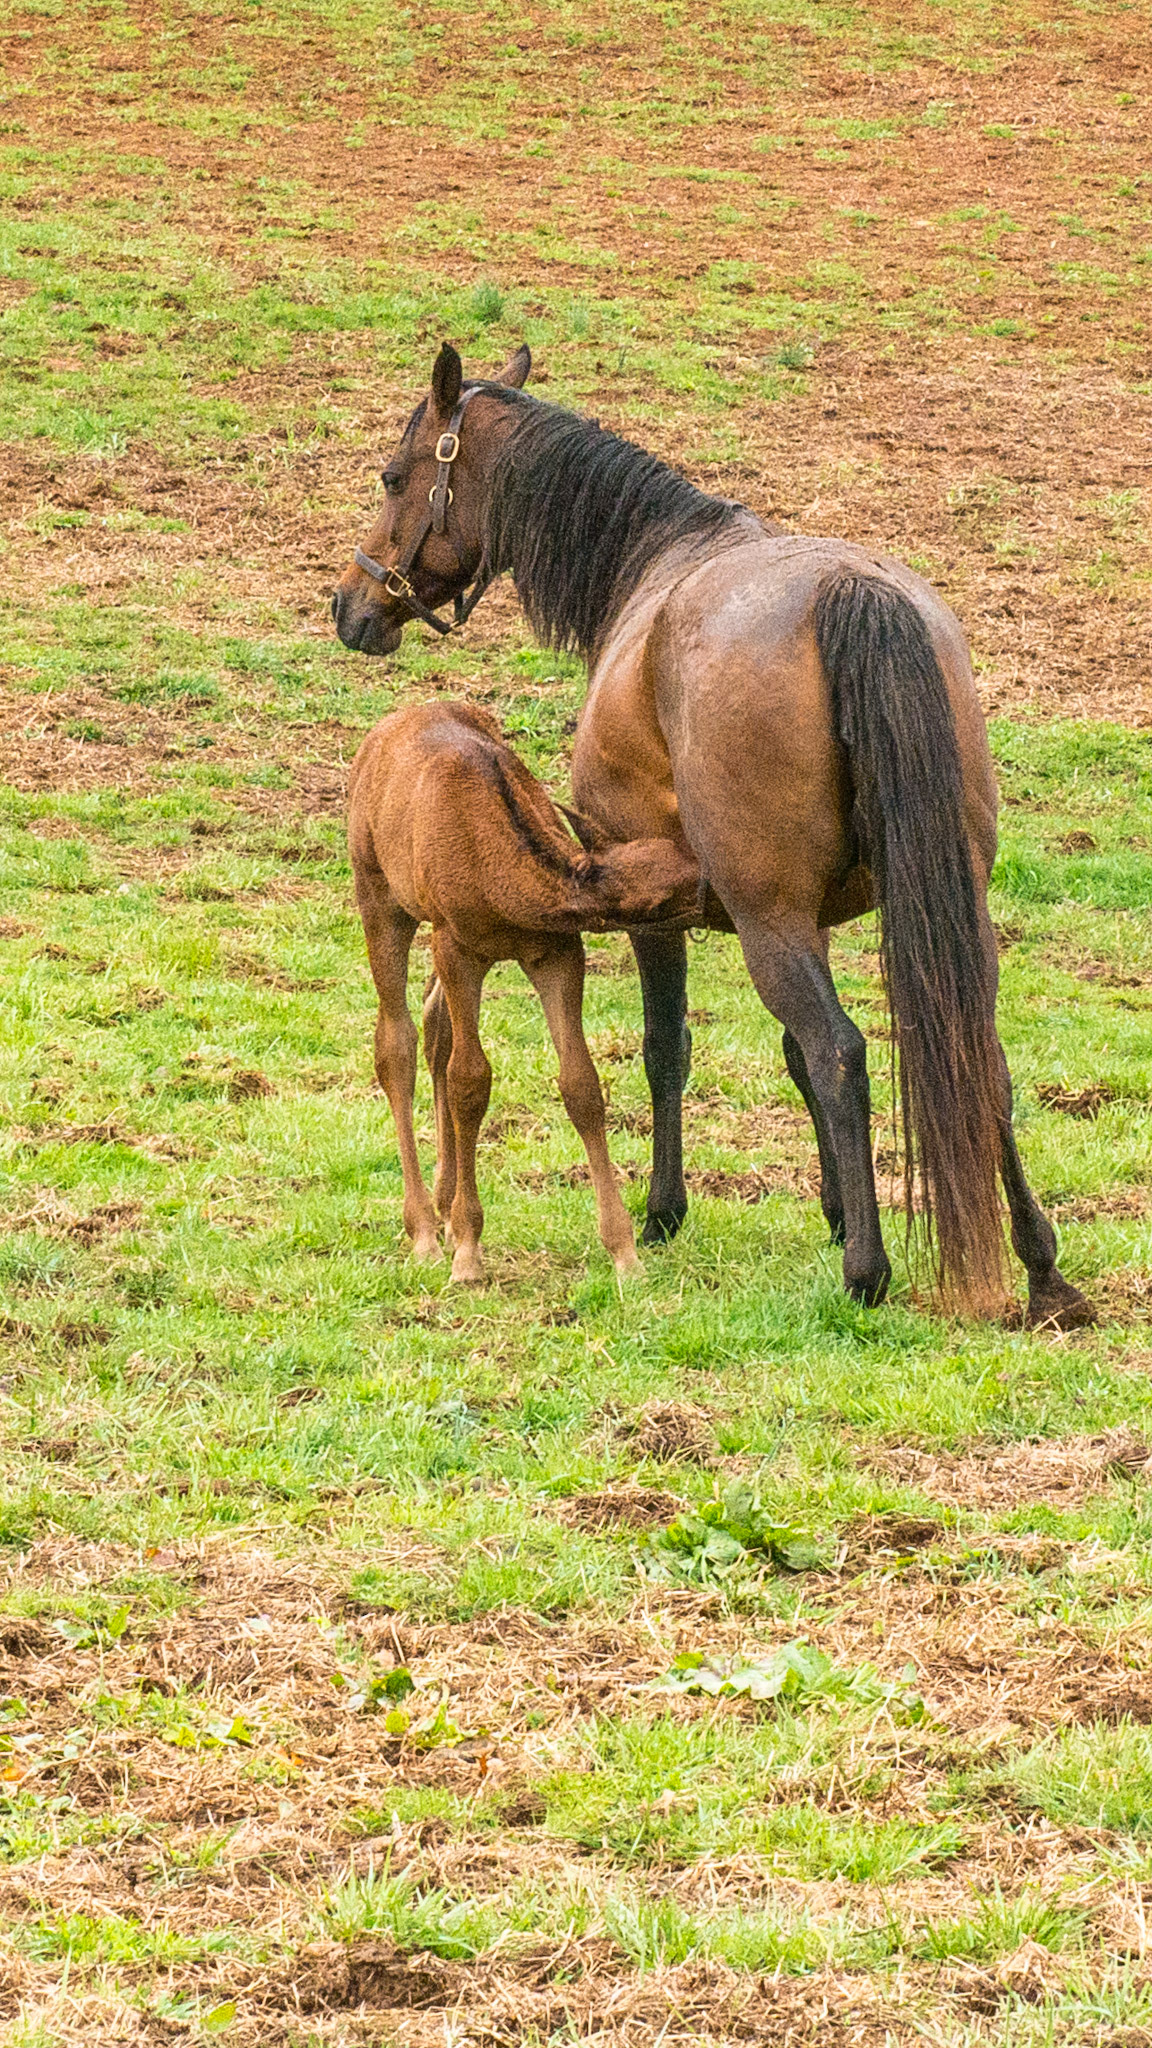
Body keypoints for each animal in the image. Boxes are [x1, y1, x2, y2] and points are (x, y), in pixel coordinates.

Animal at [347, 699, 699, 1282]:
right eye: (686, 886)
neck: (506, 877)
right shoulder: (457, 945)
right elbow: (469, 1081)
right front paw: (468, 1252)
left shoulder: (554, 952)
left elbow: (581, 1084)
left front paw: (623, 1251)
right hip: (379, 894)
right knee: (395, 1043)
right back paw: (424, 1229)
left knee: (434, 1024)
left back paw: (442, 1207)